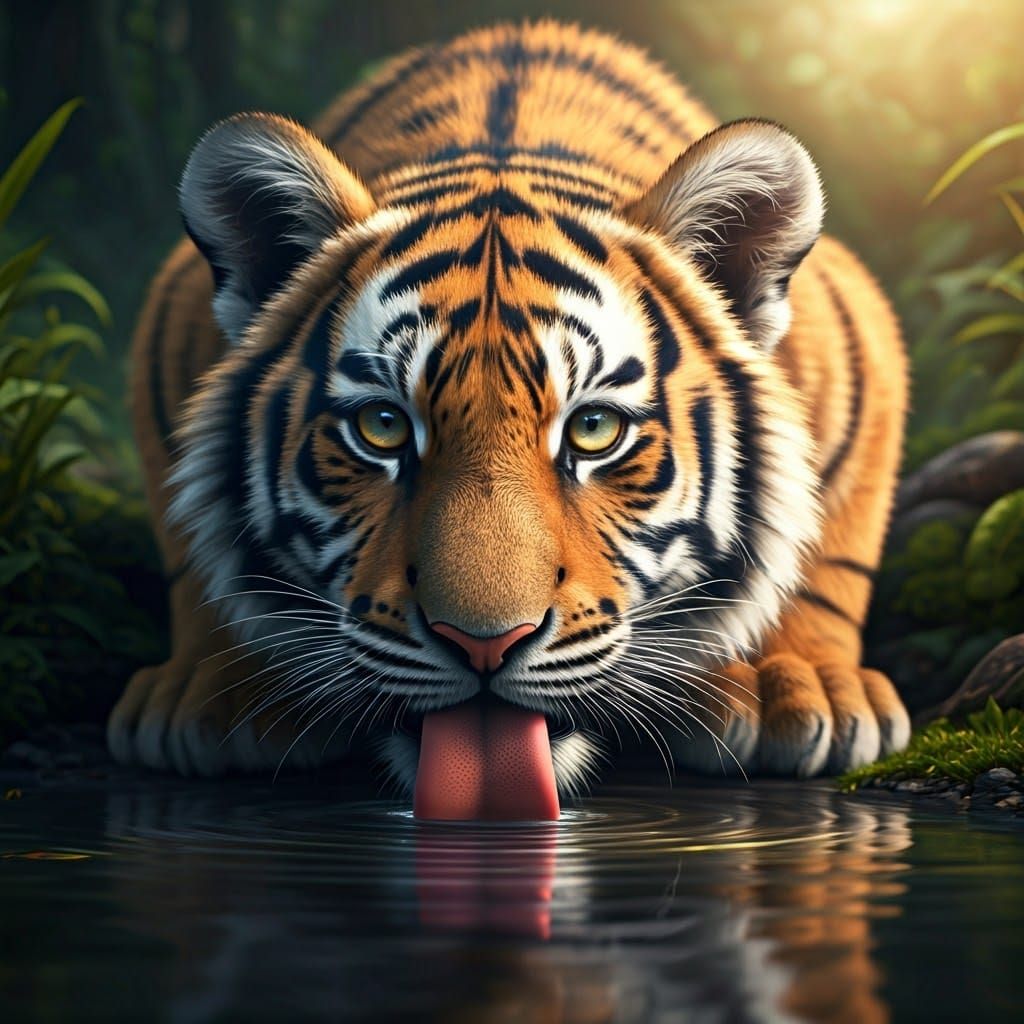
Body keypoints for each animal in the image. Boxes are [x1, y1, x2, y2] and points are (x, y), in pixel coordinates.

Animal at [107, 20, 911, 816]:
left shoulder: (859, 335)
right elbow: (195, 549)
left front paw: (792, 684)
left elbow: (824, 549)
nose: (484, 644)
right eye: (382, 427)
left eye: (594, 430)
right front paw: (219, 694)